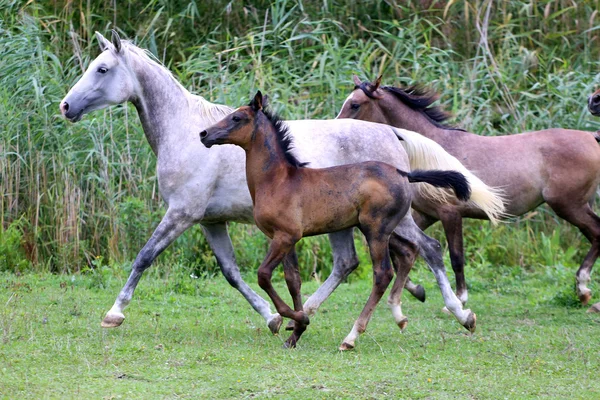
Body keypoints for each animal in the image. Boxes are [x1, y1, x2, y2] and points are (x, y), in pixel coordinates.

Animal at [202, 92, 474, 348]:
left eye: (237, 118)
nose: (204, 134)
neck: (278, 180)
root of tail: (403, 173)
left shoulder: (285, 237)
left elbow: (263, 275)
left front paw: (298, 319)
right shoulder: (284, 238)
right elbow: (293, 280)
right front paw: (295, 332)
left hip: (376, 230)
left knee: (384, 272)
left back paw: (352, 337)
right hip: (384, 227)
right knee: (410, 251)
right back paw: (406, 315)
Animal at [340, 76, 600, 312]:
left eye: (355, 104)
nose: (336, 129)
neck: (430, 150)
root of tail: (592, 137)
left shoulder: (450, 213)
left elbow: (456, 258)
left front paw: (458, 301)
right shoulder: (427, 215)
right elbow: (403, 249)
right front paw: (418, 290)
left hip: (569, 205)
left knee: (597, 233)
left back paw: (583, 290)